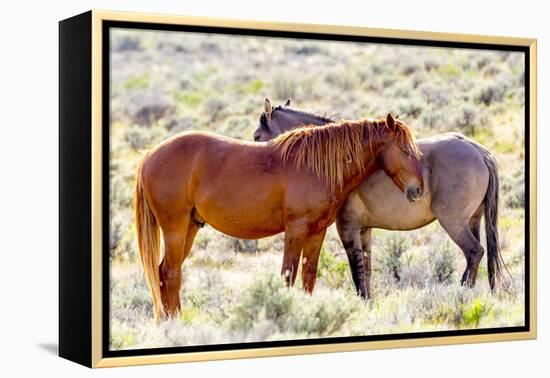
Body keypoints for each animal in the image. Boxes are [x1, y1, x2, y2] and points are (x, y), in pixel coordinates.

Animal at [136, 113, 424, 322]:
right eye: (404, 151)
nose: (418, 190)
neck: (315, 166)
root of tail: (150, 155)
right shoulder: (295, 230)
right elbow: (288, 275)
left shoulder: (317, 232)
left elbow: (308, 276)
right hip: (175, 228)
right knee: (171, 273)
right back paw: (176, 324)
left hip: (190, 228)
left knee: (163, 272)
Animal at [256, 99, 506, 300]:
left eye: (257, 136)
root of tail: (479, 151)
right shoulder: (364, 229)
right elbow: (366, 270)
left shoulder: (347, 227)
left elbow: (356, 270)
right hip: (472, 221)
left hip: (453, 222)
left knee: (474, 252)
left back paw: (461, 291)